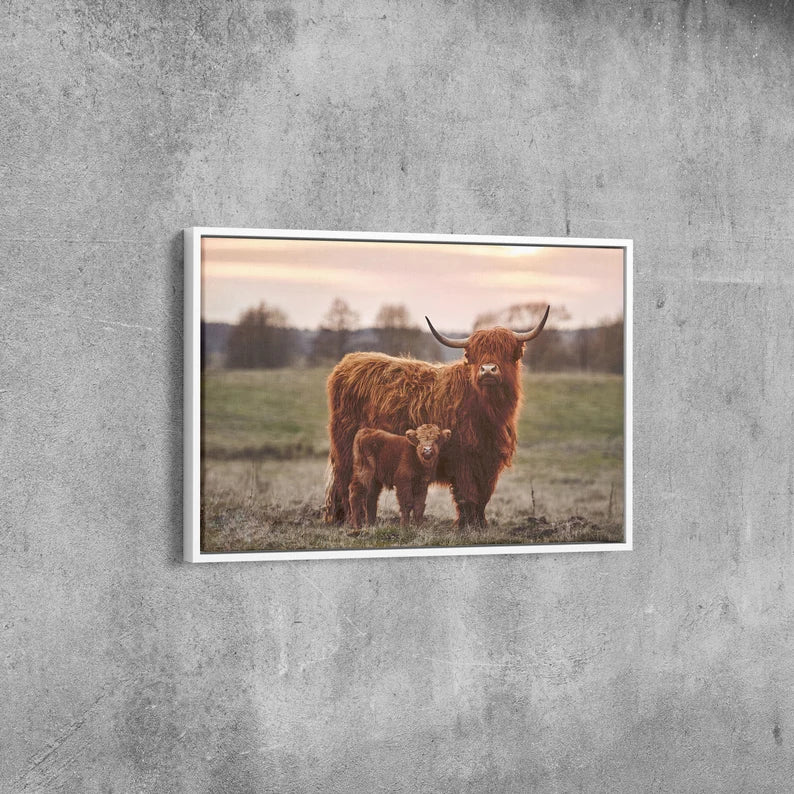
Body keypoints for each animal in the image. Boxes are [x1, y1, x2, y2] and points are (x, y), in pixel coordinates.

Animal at [324, 306, 549, 528]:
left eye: (506, 352)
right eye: (474, 354)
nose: (488, 370)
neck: (488, 412)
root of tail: (349, 361)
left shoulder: (489, 461)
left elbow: (484, 495)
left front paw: (481, 524)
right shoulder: (462, 458)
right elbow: (468, 494)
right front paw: (466, 526)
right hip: (346, 449)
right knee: (346, 483)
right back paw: (349, 521)